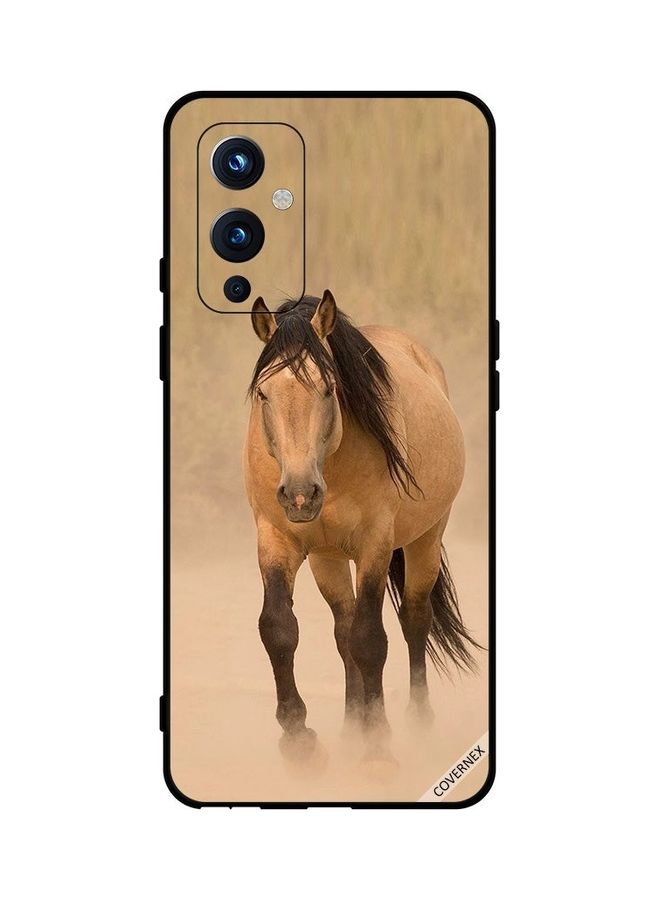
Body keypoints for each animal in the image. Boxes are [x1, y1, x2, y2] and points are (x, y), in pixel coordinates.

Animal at [244, 290, 478, 766]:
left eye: (329, 388)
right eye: (263, 393)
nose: (300, 494)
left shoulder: (375, 545)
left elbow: (371, 639)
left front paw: (378, 744)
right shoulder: (276, 540)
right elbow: (279, 628)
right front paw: (298, 738)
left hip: (426, 538)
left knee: (413, 620)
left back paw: (416, 723)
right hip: (327, 558)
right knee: (342, 629)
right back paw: (352, 726)